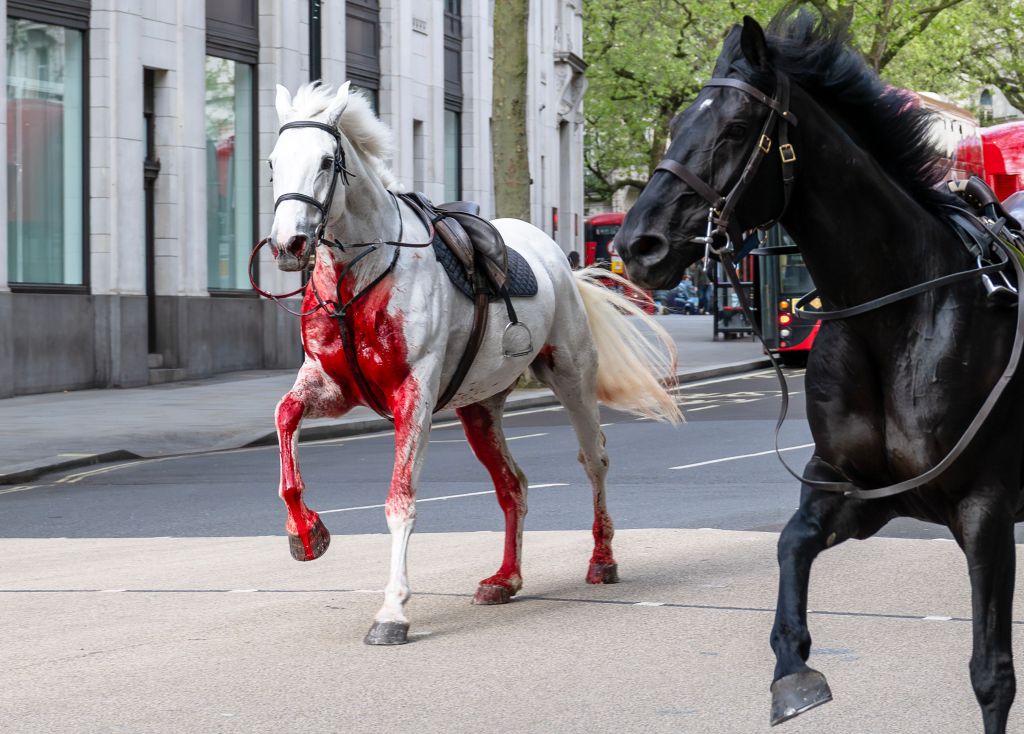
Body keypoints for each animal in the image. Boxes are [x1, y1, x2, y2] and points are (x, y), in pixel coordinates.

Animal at [264, 80, 679, 642]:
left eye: (327, 161)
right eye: (272, 162)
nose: (289, 245)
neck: (360, 275)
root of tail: (558, 258)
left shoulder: (413, 394)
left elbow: (400, 500)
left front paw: (393, 611)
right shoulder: (332, 386)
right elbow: (285, 418)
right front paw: (306, 533)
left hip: (572, 376)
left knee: (594, 460)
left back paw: (602, 559)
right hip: (479, 405)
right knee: (513, 485)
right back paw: (505, 579)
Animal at [614, 8, 1024, 728]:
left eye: (735, 128)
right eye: (678, 122)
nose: (639, 244)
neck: (897, 316)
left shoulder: (987, 509)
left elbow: (992, 674)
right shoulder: (853, 492)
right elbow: (790, 546)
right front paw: (793, 672)